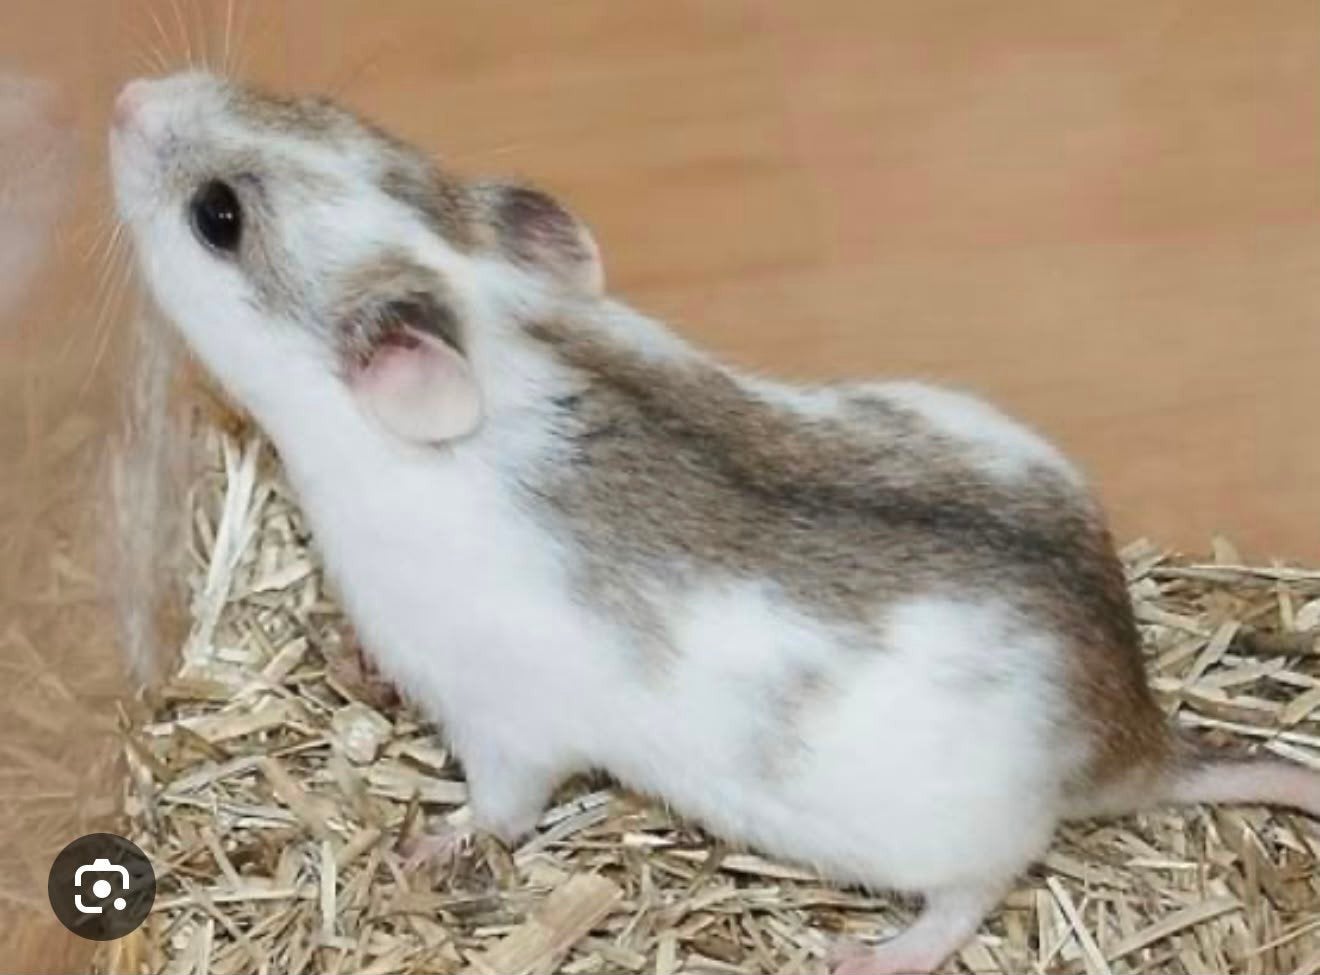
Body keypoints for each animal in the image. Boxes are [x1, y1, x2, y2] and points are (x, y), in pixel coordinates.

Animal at [109, 72, 1320, 975]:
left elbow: (497, 809)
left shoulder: (505, 726)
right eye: (320, 103)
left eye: (217, 217)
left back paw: (871, 956)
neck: (495, 331)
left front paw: (426, 845)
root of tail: (1134, 738)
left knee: (970, 897)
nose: (123, 96)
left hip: (952, 842)